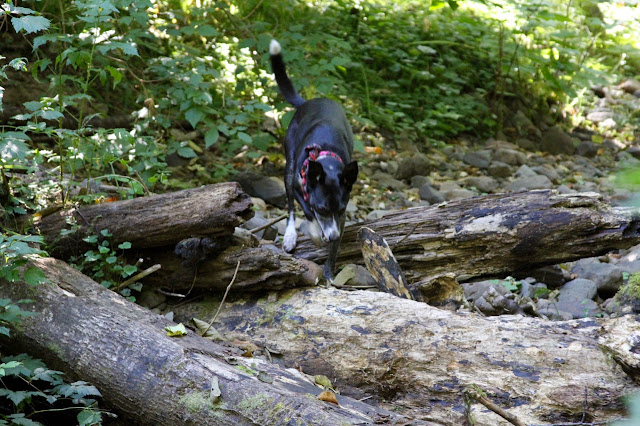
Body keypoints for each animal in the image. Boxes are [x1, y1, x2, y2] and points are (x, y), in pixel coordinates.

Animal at [270, 39, 358, 281]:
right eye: (322, 209)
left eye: (341, 209)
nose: (333, 235)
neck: (327, 161)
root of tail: (306, 102)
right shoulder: (299, 188)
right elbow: (308, 213)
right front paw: (317, 235)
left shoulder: (342, 215)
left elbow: (335, 248)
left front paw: (329, 273)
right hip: (289, 169)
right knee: (291, 208)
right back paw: (290, 235)